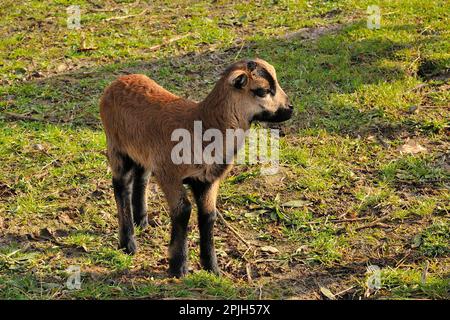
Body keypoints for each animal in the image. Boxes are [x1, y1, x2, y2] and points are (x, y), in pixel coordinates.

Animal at [100, 58, 294, 278]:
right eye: (262, 91)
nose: (290, 108)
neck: (203, 125)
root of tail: (117, 82)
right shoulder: (170, 174)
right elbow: (183, 211)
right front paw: (178, 266)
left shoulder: (207, 179)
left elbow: (209, 216)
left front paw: (212, 267)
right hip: (116, 147)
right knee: (121, 186)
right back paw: (128, 244)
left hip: (142, 150)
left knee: (142, 178)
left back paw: (141, 222)